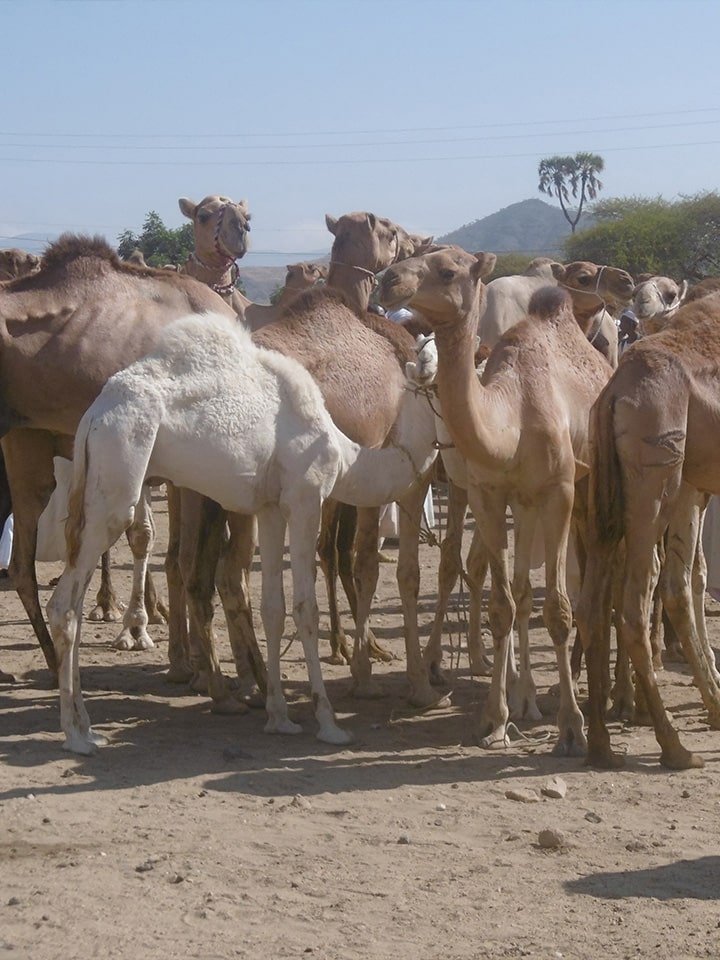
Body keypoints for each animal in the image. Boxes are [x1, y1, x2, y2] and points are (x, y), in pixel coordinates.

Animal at [0, 236, 236, 680]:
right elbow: (179, 553)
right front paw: (193, 662)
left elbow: (163, 545)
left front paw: (177, 653)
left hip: (25, 446)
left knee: (23, 563)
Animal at [47, 312, 436, 752]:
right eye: (440, 381)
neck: (346, 454)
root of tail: (93, 417)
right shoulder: (305, 498)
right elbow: (306, 607)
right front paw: (328, 722)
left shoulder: (270, 509)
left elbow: (272, 608)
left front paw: (279, 717)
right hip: (118, 475)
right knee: (65, 604)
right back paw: (76, 735)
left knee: (75, 601)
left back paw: (86, 725)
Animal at [376, 244, 612, 752]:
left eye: (447, 270)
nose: (387, 280)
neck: (512, 418)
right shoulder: (489, 494)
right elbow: (503, 603)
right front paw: (494, 719)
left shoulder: (558, 491)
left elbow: (557, 608)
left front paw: (572, 727)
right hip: (518, 503)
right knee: (518, 588)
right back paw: (521, 697)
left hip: (581, 487)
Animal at [572, 288, 720, 768]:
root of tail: (615, 392)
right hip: (657, 475)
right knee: (636, 603)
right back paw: (675, 747)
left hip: (627, 492)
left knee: (596, 605)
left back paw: (601, 744)